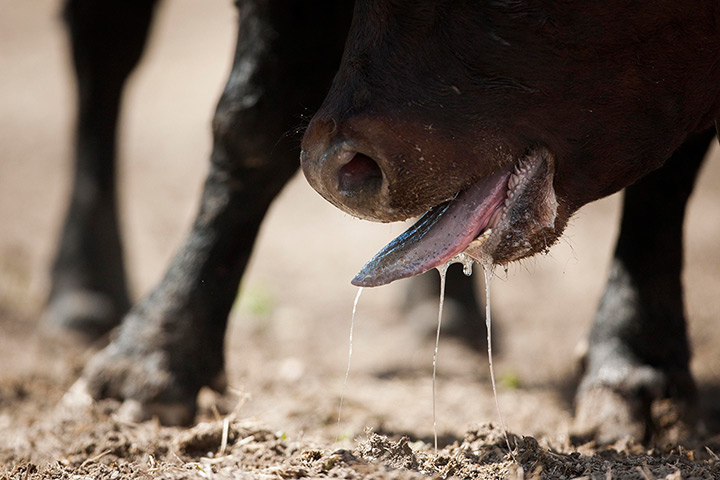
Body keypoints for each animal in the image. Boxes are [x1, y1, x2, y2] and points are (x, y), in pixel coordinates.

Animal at [53, 0, 720, 444]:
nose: (335, 164)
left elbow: (668, 180)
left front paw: (637, 374)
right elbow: (251, 119)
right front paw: (150, 364)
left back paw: (445, 314)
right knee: (103, 52)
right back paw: (82, 291)